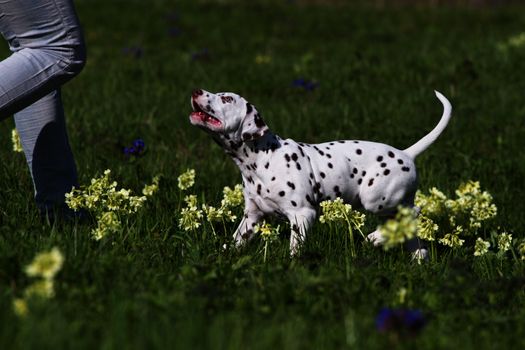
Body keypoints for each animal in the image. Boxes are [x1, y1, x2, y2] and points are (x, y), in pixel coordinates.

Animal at [188, 88, 450, 258]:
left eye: (226, 98)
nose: (196, 90)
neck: (264, 157)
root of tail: (406, 154)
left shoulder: (302, 215)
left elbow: (295, 249)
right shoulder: (252, 217)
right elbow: (235, 242)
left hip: (376, 200)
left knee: (415, 213)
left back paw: (374, 239)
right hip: (390, 209)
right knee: (409, 232)